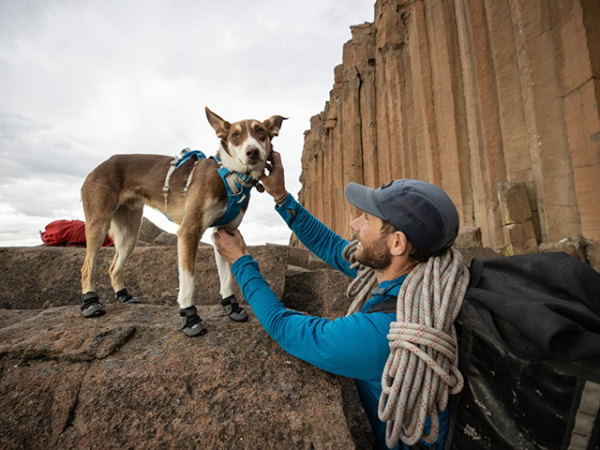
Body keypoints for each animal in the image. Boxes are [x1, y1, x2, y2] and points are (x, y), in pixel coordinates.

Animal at [79, 107, 286, 336]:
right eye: (235, 135)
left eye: (260, 131)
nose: (253, 152)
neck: (230, 176)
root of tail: (98, 167)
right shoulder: (189, 232)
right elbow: (189, 282)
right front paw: (190, 318)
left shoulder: (224, 232)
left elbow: (227, 278)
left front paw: (231, 307)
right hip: (98, 225)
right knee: (87, 268)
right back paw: (90, 303)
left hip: (130, 234)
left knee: (113, 267)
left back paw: (123, 295)